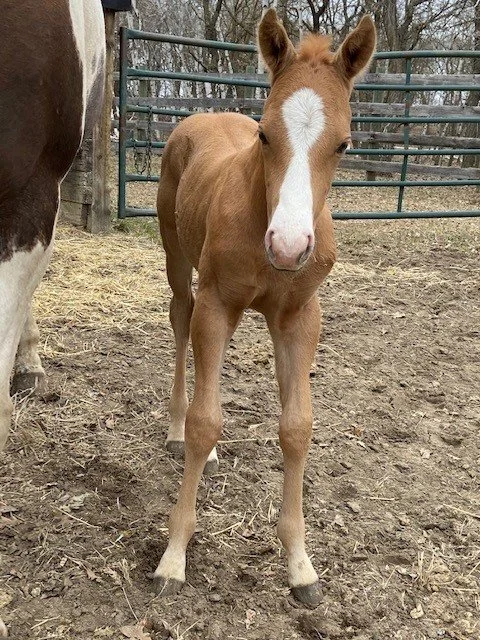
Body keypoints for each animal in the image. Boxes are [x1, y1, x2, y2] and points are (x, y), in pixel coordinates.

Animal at [153, 9, 376, 605]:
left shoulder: (299, 317)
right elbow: (207, 420)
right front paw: (174, 556)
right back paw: (175, 428)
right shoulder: (217, 303)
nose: (290, 246)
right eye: (265, 134)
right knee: (179, 322)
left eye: (343, 144)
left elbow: (297, 427)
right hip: (178, 260)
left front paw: (300, 565)